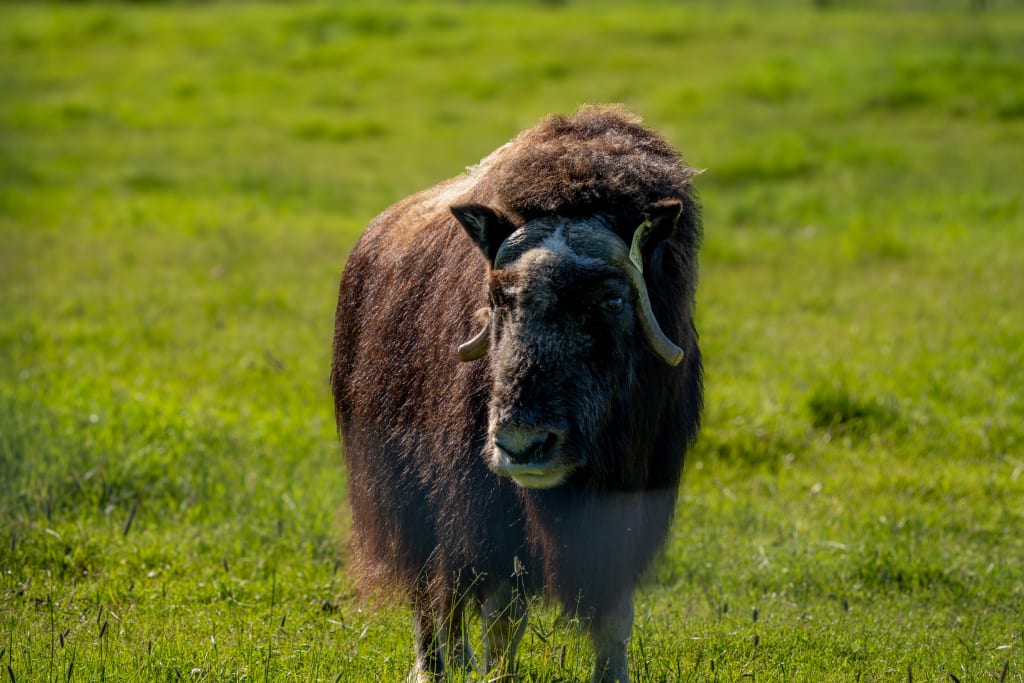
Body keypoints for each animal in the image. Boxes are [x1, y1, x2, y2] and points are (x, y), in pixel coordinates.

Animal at [331, 105, 703, 683]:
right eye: (495, 299)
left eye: (614, 299)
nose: (523, 446)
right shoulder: (484, 508)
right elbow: (504, 615)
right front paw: (496, 674)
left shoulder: (631, 498)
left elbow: (615, 614)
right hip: (403, 492)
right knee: (428, 587)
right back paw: (434, 668)